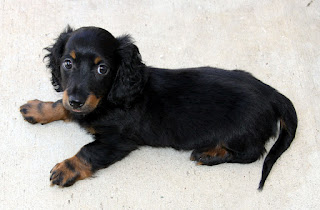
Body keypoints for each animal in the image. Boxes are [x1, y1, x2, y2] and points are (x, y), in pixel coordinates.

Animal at [20, 25, 298, 189]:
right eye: (67, 63)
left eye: (102, 69)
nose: (77, 100)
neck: (110, 97)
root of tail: (271, 93)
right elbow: (62, 105)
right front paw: (39, 109)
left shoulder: (117, 141)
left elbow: (88, 152)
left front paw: (66, 169)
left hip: (239, 133)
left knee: (253, 153)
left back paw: (209, 155)